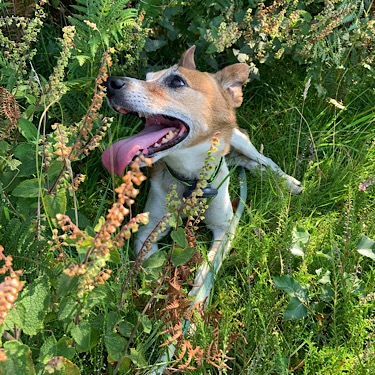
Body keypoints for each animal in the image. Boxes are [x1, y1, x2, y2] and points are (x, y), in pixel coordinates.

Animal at [100, 46, 302, 306]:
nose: (111, 83)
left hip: (239, 139)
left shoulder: (225, 229)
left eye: (176, 81)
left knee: (263, 160)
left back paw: (288, 183)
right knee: (246, 163)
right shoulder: (148, 230)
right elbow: (151, 266)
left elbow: (207, 270)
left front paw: (194, 307)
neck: (191, 179)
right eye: (147, 78)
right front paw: (161, 299)